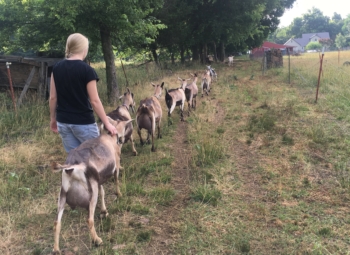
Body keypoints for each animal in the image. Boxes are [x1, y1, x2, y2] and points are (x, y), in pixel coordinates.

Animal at [52, 116, 133, 254]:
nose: (122, 139)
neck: (108, 138)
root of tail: (71, 167)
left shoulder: (99, 180)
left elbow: (103, 192)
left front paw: (104, 211)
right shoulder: (115, 166)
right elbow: (116, 180)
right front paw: (119, 194)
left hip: (62, 194)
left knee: (57, 222)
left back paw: (56, 249)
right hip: (91, 192)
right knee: (89, 219)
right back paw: (97, 240)